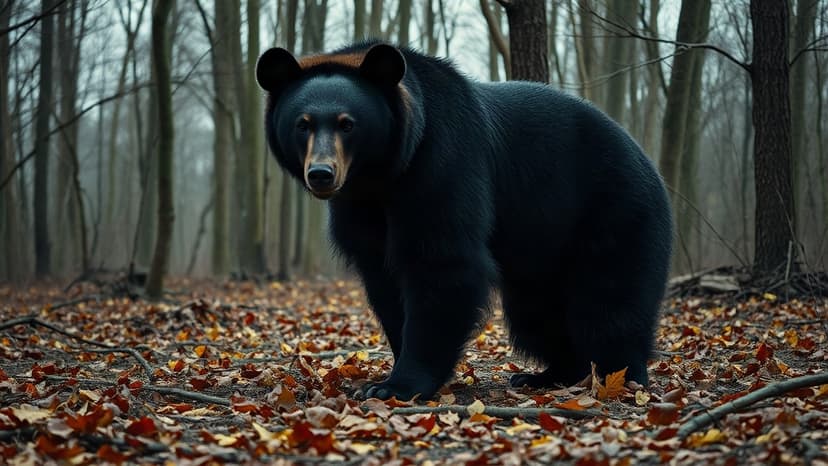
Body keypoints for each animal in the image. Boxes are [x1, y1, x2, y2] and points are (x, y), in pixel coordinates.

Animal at [255, 42, 672, 401]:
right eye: (302, 124)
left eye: (348, 124)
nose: (321, 174)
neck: (380, 179)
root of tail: (650, 165)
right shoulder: (357, 210)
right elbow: (384, 282)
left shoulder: (442, 161)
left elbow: (443, 264)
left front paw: (396, 385)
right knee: (537, 315)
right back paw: (545, 375)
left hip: (615, 211)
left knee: (610, 304)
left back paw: (620, 378)